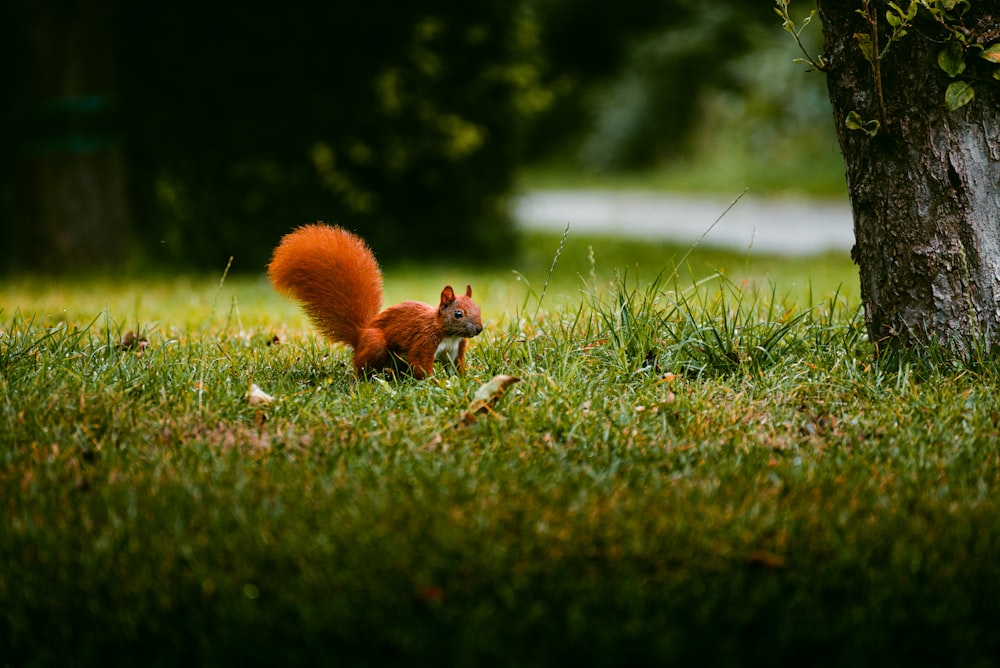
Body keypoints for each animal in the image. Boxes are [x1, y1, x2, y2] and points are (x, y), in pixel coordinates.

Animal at [266, 224, 484, 378]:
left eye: (478, 309)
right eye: (458, 314)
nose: (479, 329)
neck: (448, 334)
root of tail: (359, 336)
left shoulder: (455, 351)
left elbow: (455, 369)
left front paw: (463, 380)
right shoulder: (424, 341)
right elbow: (421, 365)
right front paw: (432, 383)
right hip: (376, 345)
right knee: (361, 368)